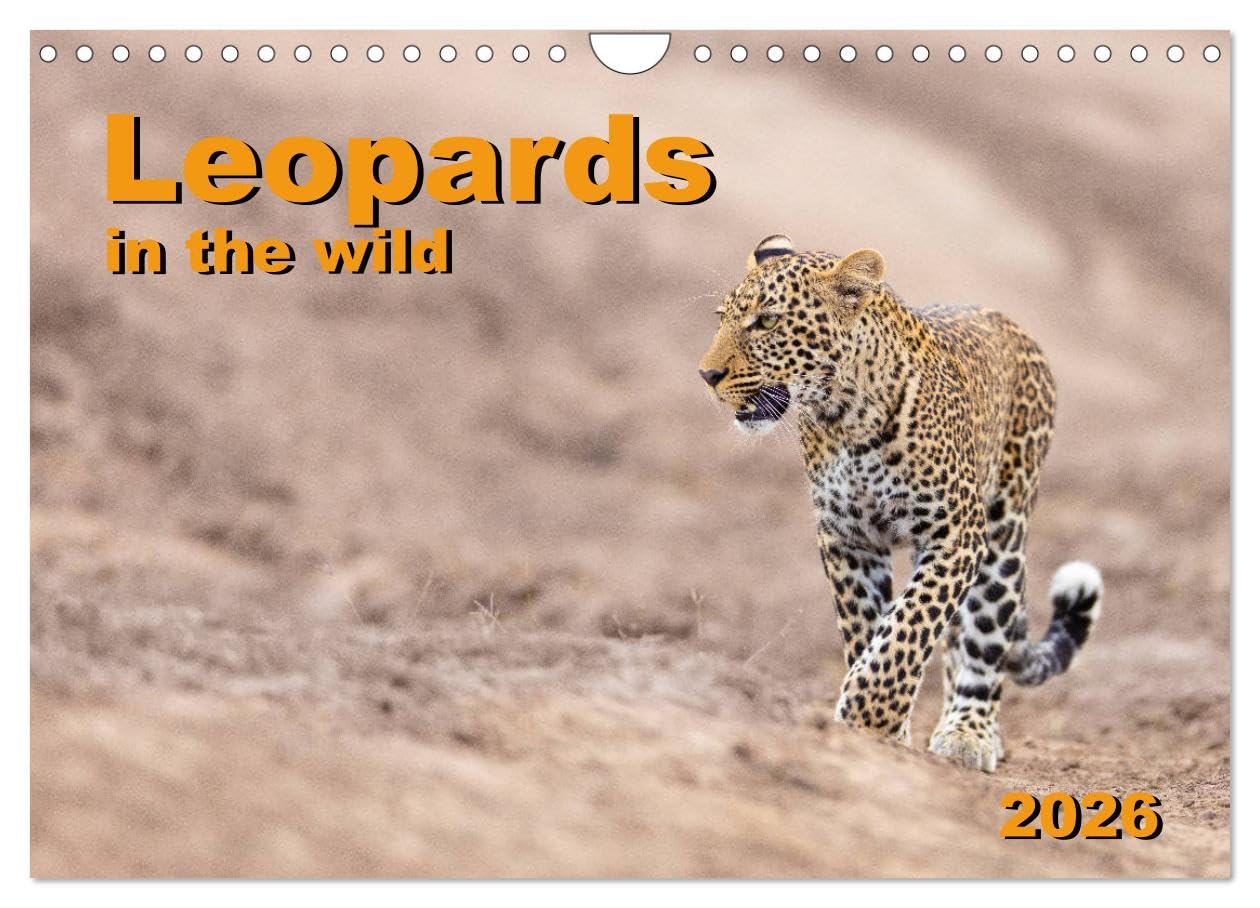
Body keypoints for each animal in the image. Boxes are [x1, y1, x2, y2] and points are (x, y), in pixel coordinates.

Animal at [698, 235, 1102, 772]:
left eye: (766, 322)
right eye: (722, 318)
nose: (707, 374)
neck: (844, 418)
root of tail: (1007, 321)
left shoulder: (955, 533)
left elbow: (910, 626)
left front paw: (870, 714)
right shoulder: (847, 537)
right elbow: (869, 628)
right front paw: (880, 726)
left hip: (1003, 531)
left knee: (985, 633)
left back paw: (970, 731)